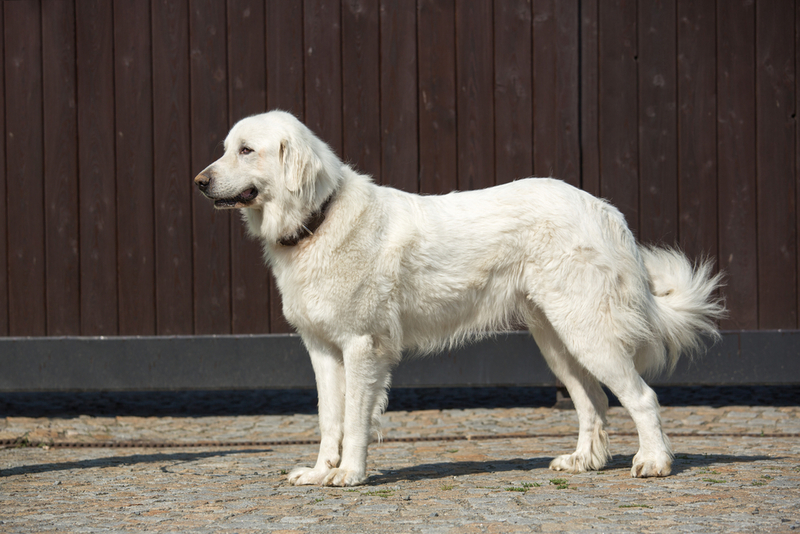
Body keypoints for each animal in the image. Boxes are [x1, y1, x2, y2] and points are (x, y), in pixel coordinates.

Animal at [195, 111, 724, 488]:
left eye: (246, 150)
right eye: (225, 149)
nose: (199, 182)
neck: (317, 219)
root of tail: (605, 209)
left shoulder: (362, 347)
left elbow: (355, 420)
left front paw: (349, 474)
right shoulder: (324, 350)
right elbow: (330, 419)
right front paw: (322, 471)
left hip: (587, 332)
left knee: (642, 397)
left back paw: (654, 462)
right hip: (557, 340)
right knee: (592, 400)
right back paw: (583, 462)